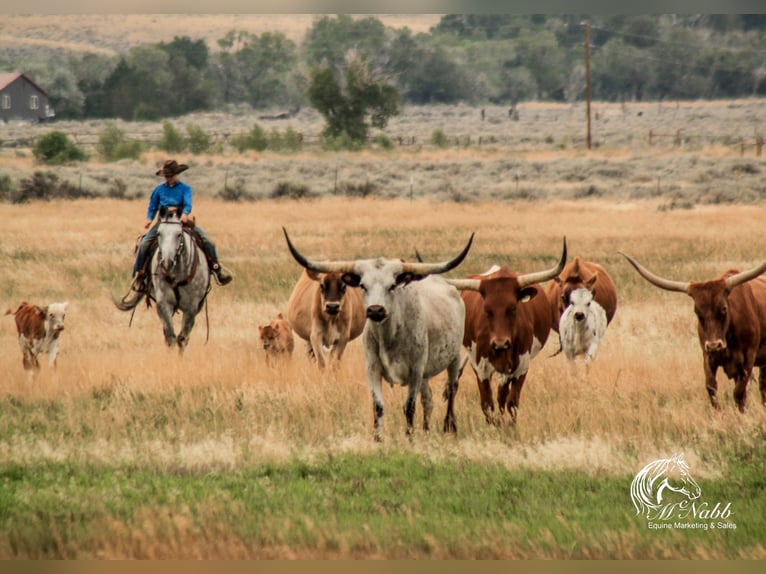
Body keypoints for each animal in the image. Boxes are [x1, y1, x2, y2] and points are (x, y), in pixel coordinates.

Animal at [114, 205, 212, 354]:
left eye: (179, 234)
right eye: (159, 233)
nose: (166, 263)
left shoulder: (191, 307)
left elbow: (183, 338)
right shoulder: (163, 303)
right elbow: (171, 336)